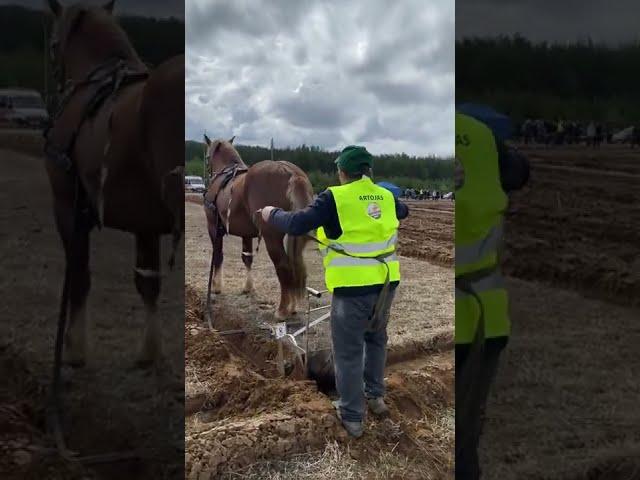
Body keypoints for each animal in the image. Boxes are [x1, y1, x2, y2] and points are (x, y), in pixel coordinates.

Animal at [44, 0, 185, 368]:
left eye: (53, 45)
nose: (56, 87)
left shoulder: (67, 206)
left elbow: (79, 275)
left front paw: (75, 347)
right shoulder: (145, 223)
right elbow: (147, 282)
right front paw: (150, 351)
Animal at [204, 137, 314, 320]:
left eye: (207, 157)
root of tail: (289, 171)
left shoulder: (213, 227)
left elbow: (217, 255)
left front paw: (216, 286)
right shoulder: (246, 234)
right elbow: (247, 258)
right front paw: (248, 287)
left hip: (271, 236)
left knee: (283, 266)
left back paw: (283, 310)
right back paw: (291, 306)